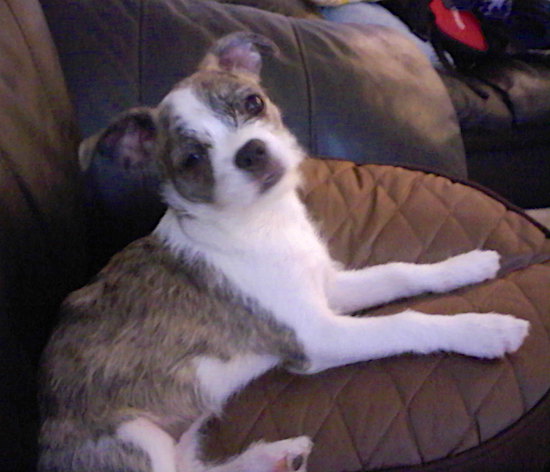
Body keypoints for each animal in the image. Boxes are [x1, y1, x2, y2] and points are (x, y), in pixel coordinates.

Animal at [37, 32, 532, 472]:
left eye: (253, 102)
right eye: (192, 160)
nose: (251, 152)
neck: (263, 223)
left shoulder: (328, 288)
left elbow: (398, 272)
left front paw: (467, 264)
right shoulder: (318, 335)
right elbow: (405, 323)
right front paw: (484, 329)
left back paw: (273, 457)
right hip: (136, 439)